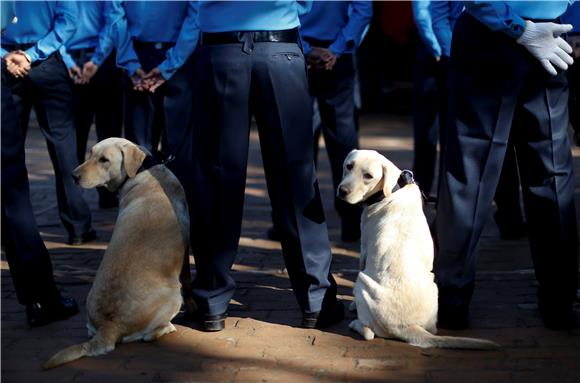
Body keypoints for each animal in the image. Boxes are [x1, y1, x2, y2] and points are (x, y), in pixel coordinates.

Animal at [42, 138, 195, 368]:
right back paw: (166, 327)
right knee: (149, 335)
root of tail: (110, 326)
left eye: (103, 159)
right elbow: (188, 280)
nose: (73, 175)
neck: (143, 171)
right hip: (173, 293)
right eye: (91, 154)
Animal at [340, 150, 498, 352]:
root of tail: (407, 326)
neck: (393, 189)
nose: (342, 191)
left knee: (369, 333)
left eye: (368, 176)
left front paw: (352, 305)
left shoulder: (364, 248)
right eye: (349, 166)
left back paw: (356, 324)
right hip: (433, 285)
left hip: (361, 281)